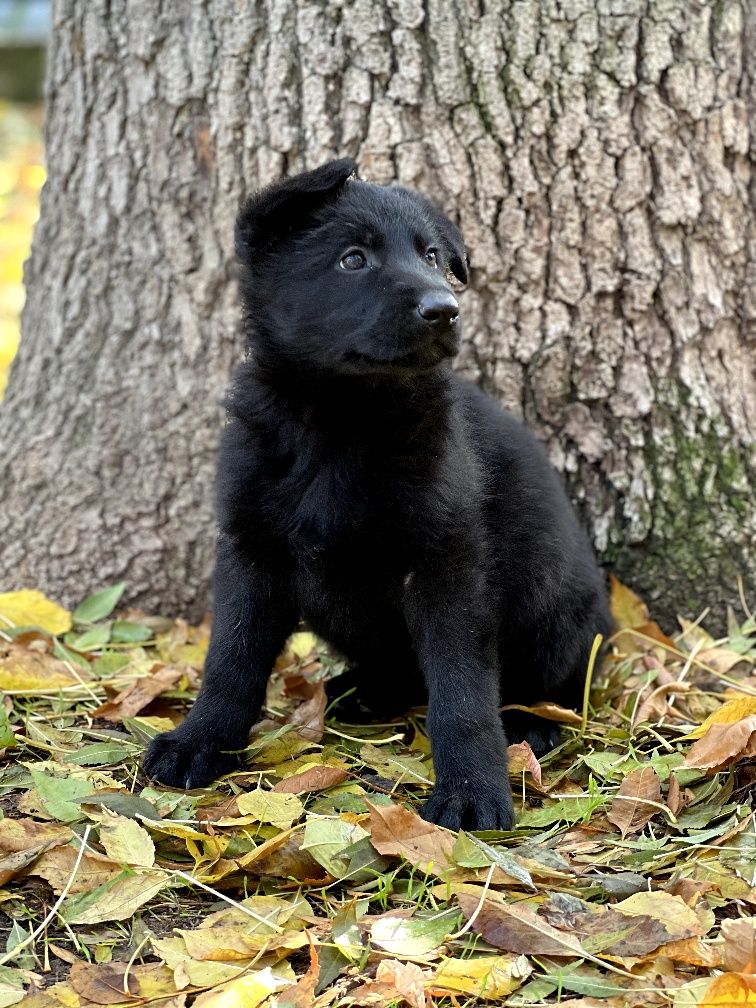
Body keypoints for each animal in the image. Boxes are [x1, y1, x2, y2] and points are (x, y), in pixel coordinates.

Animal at [145, 161, 612, 830]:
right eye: (353, 259)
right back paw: (360, 693)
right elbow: (230, 659)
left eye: (434, 256)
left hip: (556, 609)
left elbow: (462, 694)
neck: (344, 423)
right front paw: (198, 741)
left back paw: (533, 725)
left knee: (559, 685)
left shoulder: (446, 567)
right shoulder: (250, 549)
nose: (445, 309)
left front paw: (472, 789)